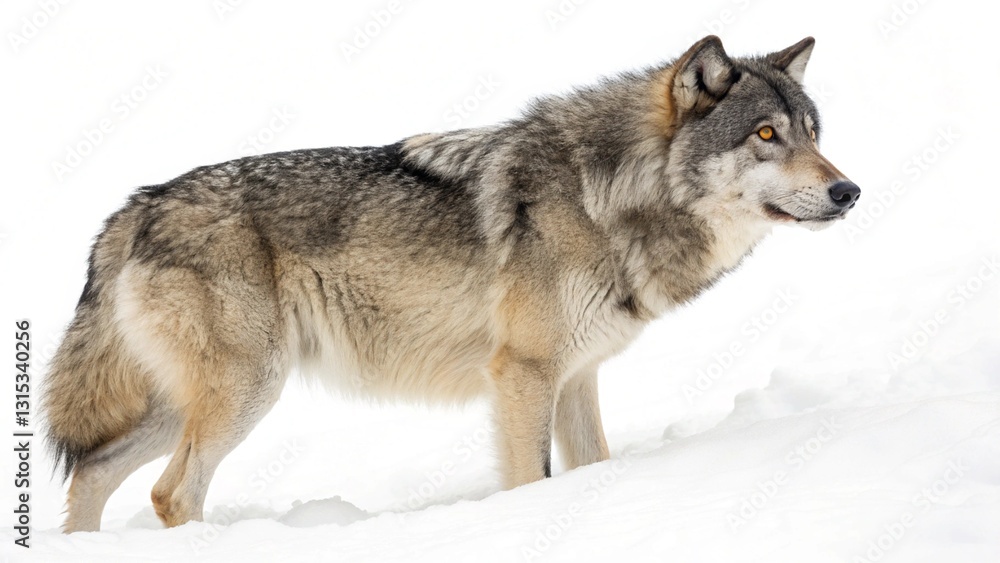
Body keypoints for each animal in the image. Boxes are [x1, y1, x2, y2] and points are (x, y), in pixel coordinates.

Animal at [42, 35, 859, 532]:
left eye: (814, 134)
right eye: (765, 135)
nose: (849, 191)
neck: (607, 194)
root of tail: (135, 205)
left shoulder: (576, 376)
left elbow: (589, 468)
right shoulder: (524, 374)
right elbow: (532, 481)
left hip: (189, 402)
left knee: (93, 472)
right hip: (247, 391)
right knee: (169, 491)